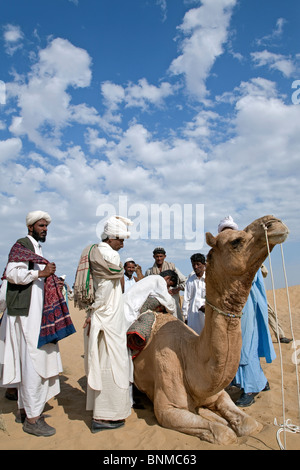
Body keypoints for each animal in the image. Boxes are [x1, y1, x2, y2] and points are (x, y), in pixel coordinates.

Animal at [133, 217, 288, 444]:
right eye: (236, 241)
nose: (274, 222)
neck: (189, 357)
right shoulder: (167, 409)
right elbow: (224, 434)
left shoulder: (218, 394)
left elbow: (250, 425)